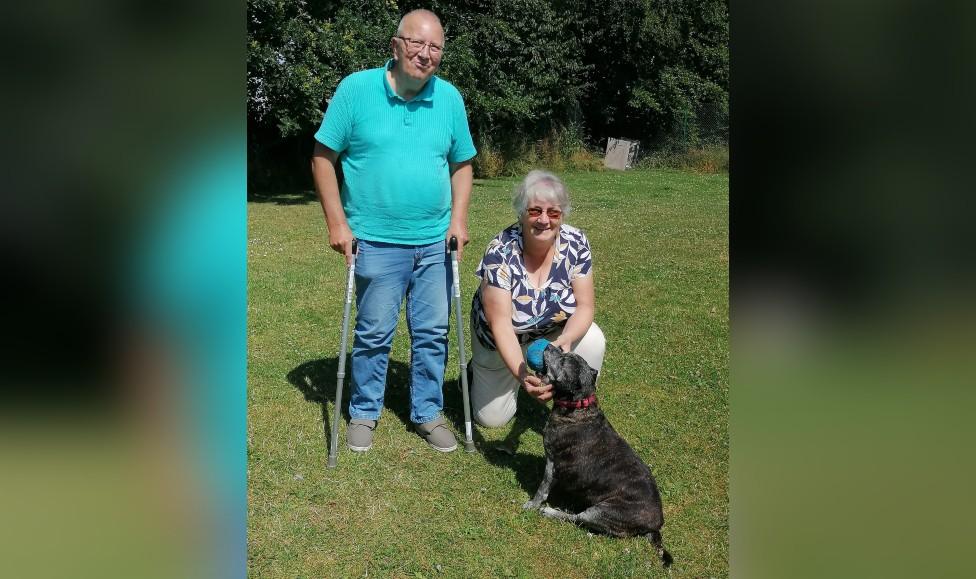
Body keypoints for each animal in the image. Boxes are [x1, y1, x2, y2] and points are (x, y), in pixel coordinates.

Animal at [524, 344, 676, 568]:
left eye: (563, 361)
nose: (551, 345)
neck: (579, 405)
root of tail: (656, 525)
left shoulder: (552, 463)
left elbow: (542, 489)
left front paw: (532, 505)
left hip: (601, 512)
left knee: (576, 519)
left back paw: (550, 512)